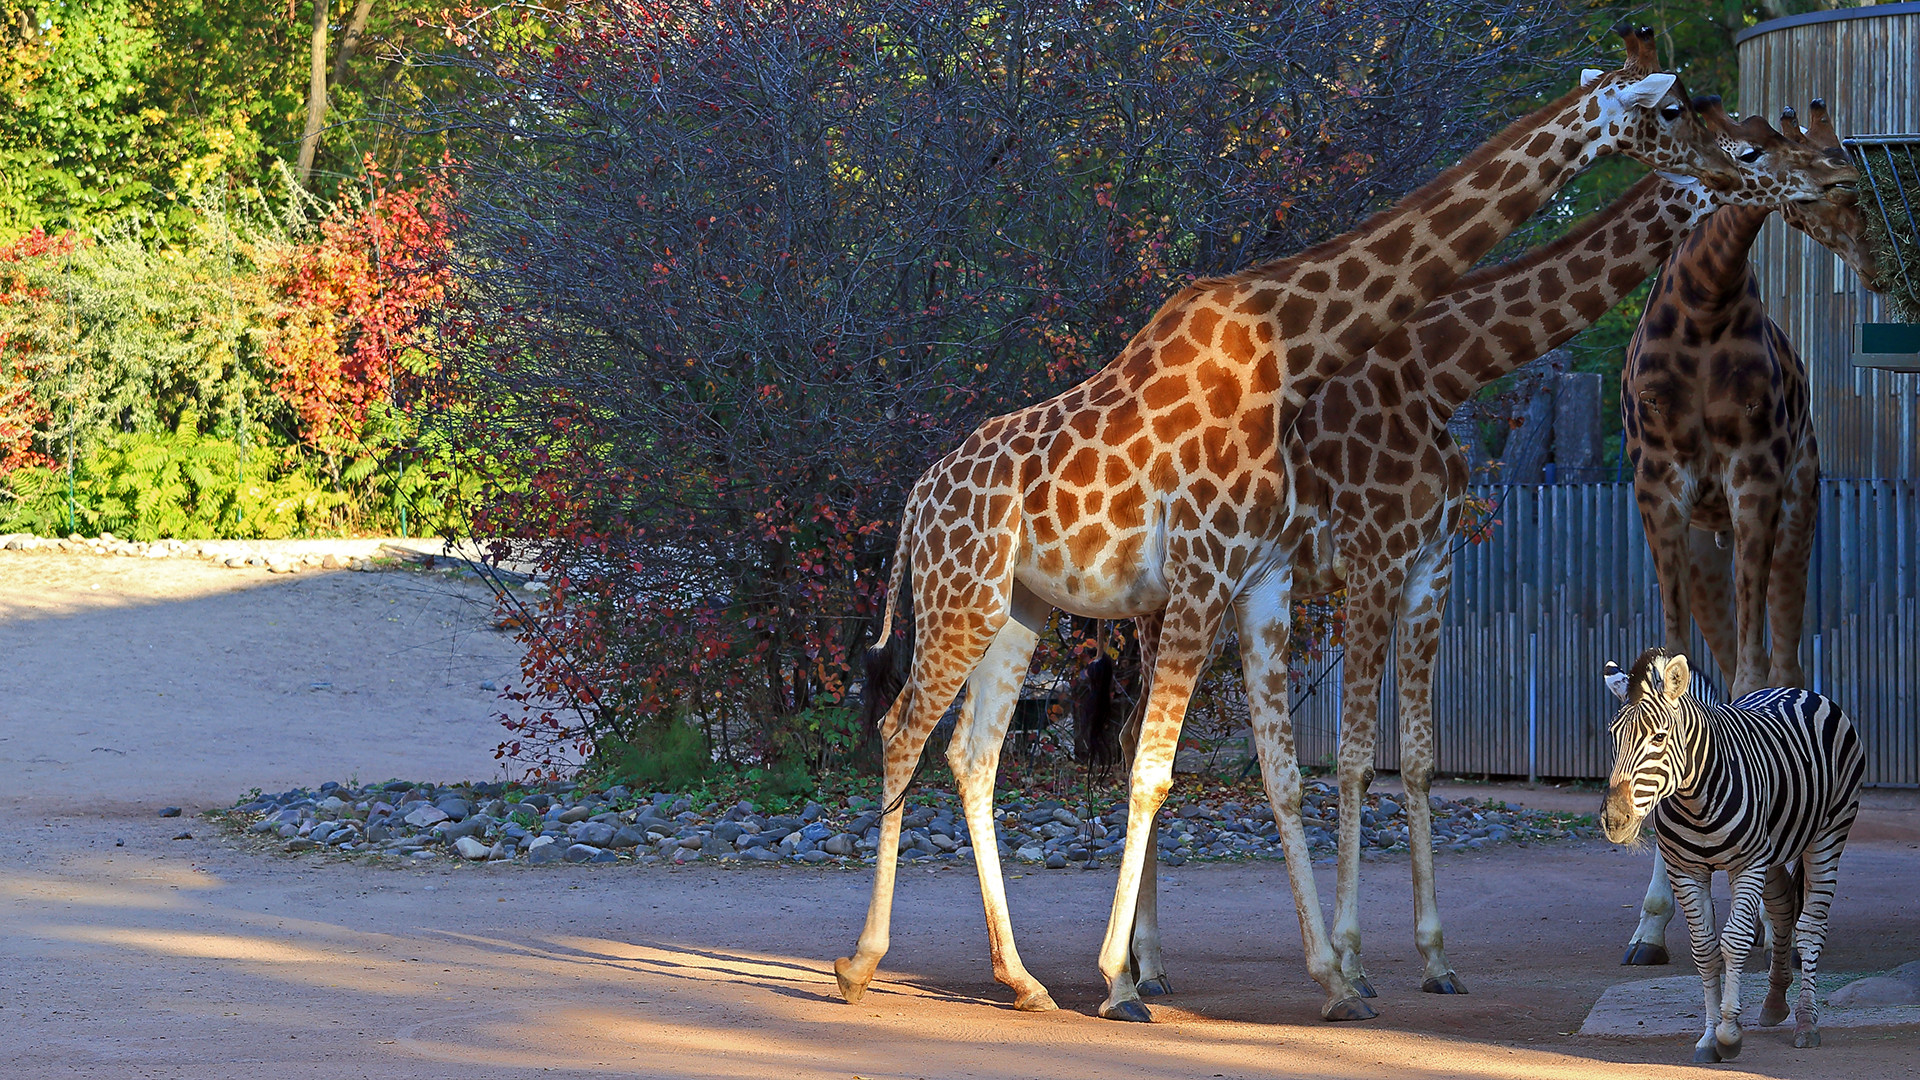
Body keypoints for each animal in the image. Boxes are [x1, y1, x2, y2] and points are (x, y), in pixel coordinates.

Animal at [833, 23, 1751, 1014]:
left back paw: (1025, 978)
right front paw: (1124, 978)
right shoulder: (1241, 569)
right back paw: (866, 963)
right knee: (903, 730)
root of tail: (915, 502)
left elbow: (1285, 771)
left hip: (1020, 608)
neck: (1291, 344)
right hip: (964, 601)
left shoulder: (1265, 578)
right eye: (1672, 109)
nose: (1735, 158)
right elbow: (1169, 770)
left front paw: (1337, 977)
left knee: (975, 754)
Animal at [1605, 641, 1858, 1053]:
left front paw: (1728, 1033)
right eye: (1614, 736)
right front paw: (1710, 1036)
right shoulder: (1686, 869)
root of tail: (1796, 690)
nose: (1614, 819)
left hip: (1829, 834)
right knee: (1785, 909)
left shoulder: (1747, 865)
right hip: (1774, 852)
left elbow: (1734, 941)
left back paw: (1807, 1023)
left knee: (1811, 926)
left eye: (1659, 737)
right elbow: (1705, 948)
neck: (1696, 798)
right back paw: (1774, 1003)